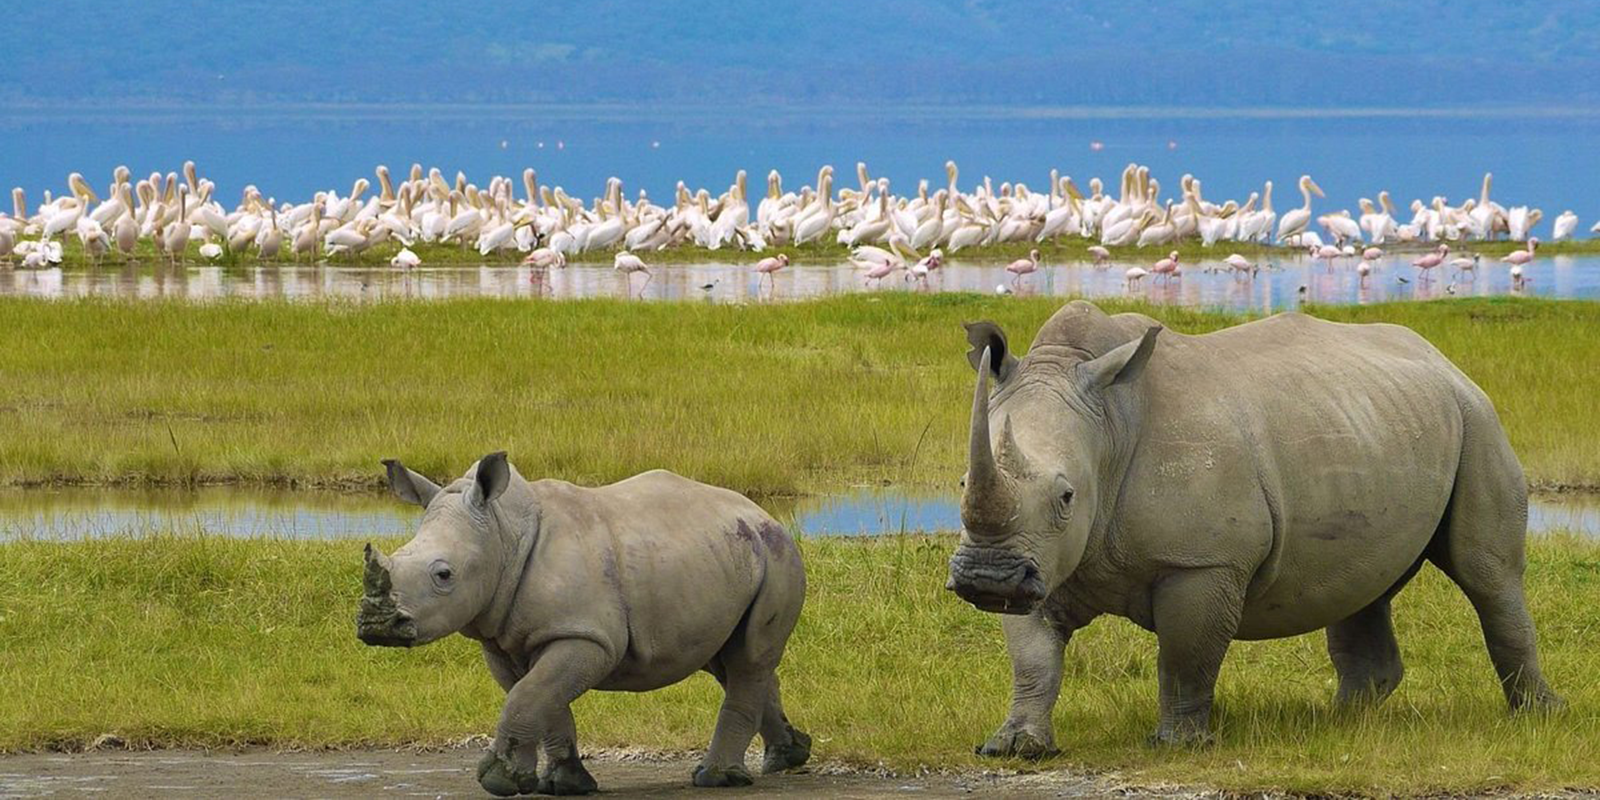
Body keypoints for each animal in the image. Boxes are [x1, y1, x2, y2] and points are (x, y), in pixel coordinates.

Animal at [361, 454, 812, 796]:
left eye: (444, 575)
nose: (375, 626)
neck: (503, 535)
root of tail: (762, 513)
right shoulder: (505, 642)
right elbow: (541, 699)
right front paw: (564, 784)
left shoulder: (586, 636)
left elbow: (528, 697)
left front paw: (499, 781)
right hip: (726, 557)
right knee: (730, 660)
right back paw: (787, 756)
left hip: (777, 556)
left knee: (748, 659)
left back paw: (715, 778)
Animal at [947, 300, 1561, 755]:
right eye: (961, 482)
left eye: (1067, 496)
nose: (986, 579)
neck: (1110, 427)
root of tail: (1443, 359)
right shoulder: (1041, 560)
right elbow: (1033, 656)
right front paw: (1014, 747)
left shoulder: (1202, 561)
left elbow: (1186, 657)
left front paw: (1179, 745)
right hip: (1375, 422)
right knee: (1366, 581)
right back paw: (1341, 721)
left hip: (1478, 419)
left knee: (1488, 575)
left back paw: (1538, 715)